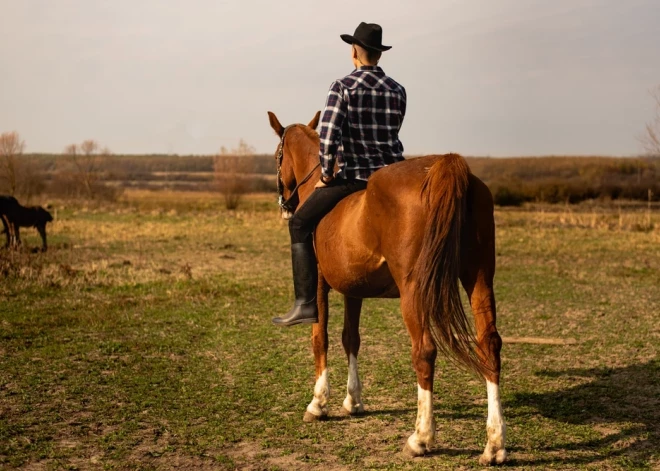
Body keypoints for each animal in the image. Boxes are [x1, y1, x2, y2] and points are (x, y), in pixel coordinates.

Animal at [266, 111, 506, 468]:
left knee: (425, 351)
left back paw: (420, 438)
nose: (284, 204)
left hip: (414, 291)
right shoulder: (352, 288)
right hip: (479, 279)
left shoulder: (321, 283)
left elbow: (320, 337)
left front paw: (318, 403)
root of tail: (445, 167)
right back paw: (495, 445)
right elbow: (350, 338)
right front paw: (353, 401)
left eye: (277, 156)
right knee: (489, 344)